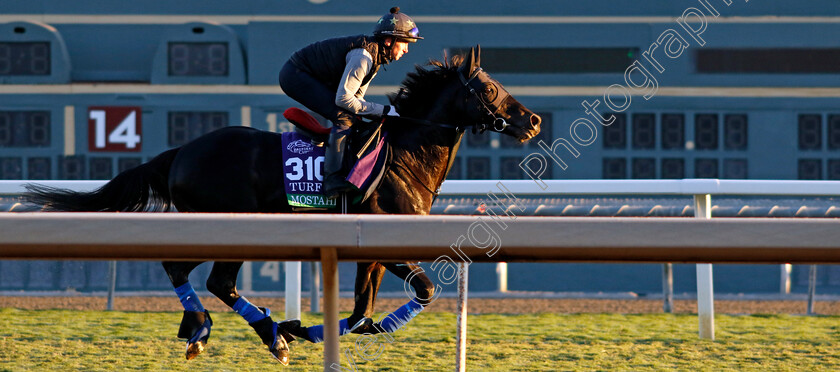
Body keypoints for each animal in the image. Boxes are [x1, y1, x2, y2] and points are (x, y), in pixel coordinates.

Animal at [26, 45, 540, 364]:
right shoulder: (382, 241)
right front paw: (299, 328)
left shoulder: (373, 249)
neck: (403, 153)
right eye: (489, 89)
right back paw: (235, 332)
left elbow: (364, 313)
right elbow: (419, 292)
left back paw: (243, 332)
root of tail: (182, 150)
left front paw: (307, 328)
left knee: (195, 274)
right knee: (205, 276)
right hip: (230, 224)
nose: (533, 121)